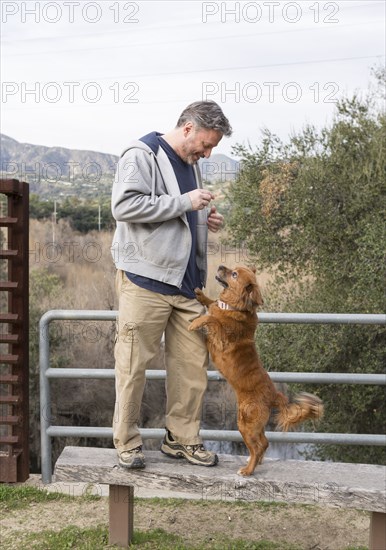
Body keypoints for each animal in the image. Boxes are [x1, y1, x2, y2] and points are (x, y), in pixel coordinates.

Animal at [189, 266, 322, 476]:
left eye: (234, 274)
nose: (220, 267)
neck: (234, 307)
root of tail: (275, 395)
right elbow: (212, 305)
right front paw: (202, 295)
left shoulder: (221, 340)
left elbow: (213, 318)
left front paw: (196, 322)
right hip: (255, 425)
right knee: (265, 443)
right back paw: (256, 462)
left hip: (245, 424)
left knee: (257, 447)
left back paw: (247, 470)